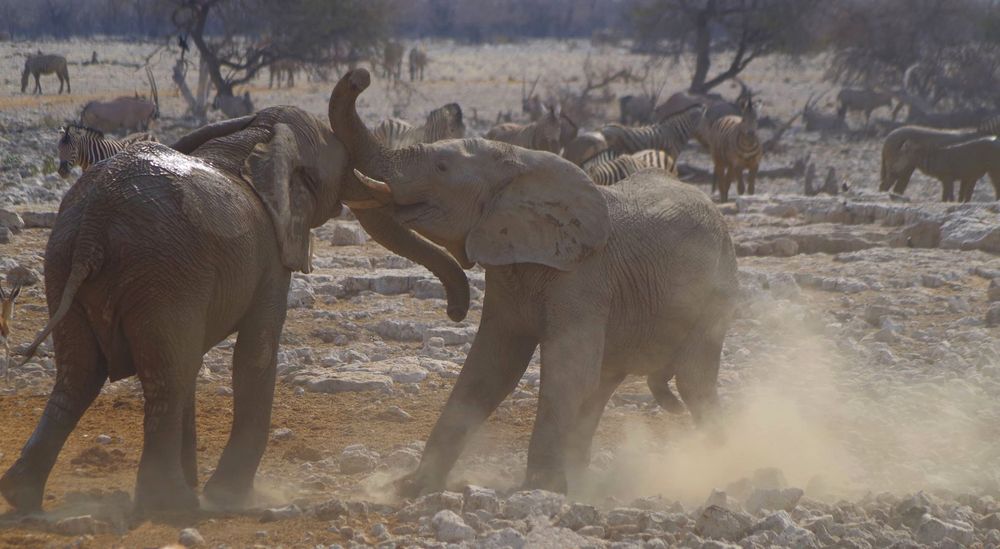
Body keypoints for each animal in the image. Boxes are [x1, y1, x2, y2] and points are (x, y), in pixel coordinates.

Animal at [1, 97, 470, 512]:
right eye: (339, 172)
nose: (456, 311)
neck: (258, 136)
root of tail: (95, 224)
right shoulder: (270, 256)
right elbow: (256, 352)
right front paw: (226, 496)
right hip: (159, 270)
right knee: (163, 376)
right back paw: (172, 505)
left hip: (67, 260)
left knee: (82, 374)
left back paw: (22, 495)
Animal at [330, 70, 744, 494]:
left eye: (442, 167)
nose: (360, 77)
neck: (519, 161)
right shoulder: (509, 269)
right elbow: (490, 369)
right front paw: (410, 488)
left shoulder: (584, 275)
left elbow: (564, 373)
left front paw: (539, 489)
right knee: (605, 382)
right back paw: (584, 478)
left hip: (718, 291)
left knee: (693, 380)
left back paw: (724, 466)